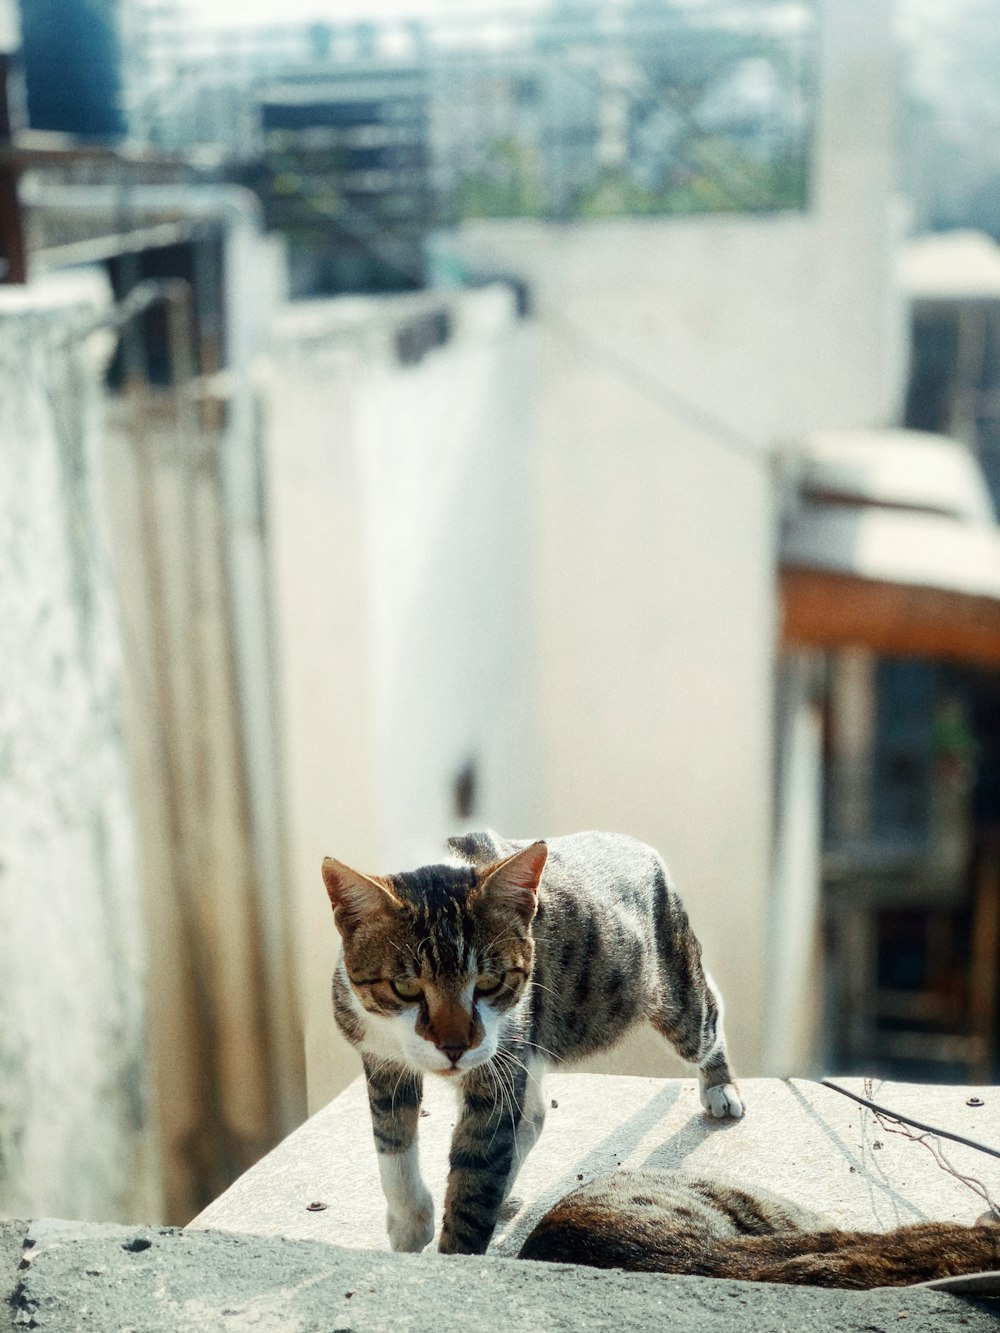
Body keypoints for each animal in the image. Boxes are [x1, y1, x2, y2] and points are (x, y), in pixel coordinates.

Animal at [321, 826, 746, 1253]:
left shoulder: (499, 1056)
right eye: (405, 987)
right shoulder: (378, 1050)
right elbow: (390, 1133)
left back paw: (721, 1087)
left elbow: (478, 1168)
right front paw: (410, 1222)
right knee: (535, 1111)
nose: (455, 1047)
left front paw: (455, 1253)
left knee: (707, 1014)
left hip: (672, 991)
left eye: (489, 982)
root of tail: (636, 844)